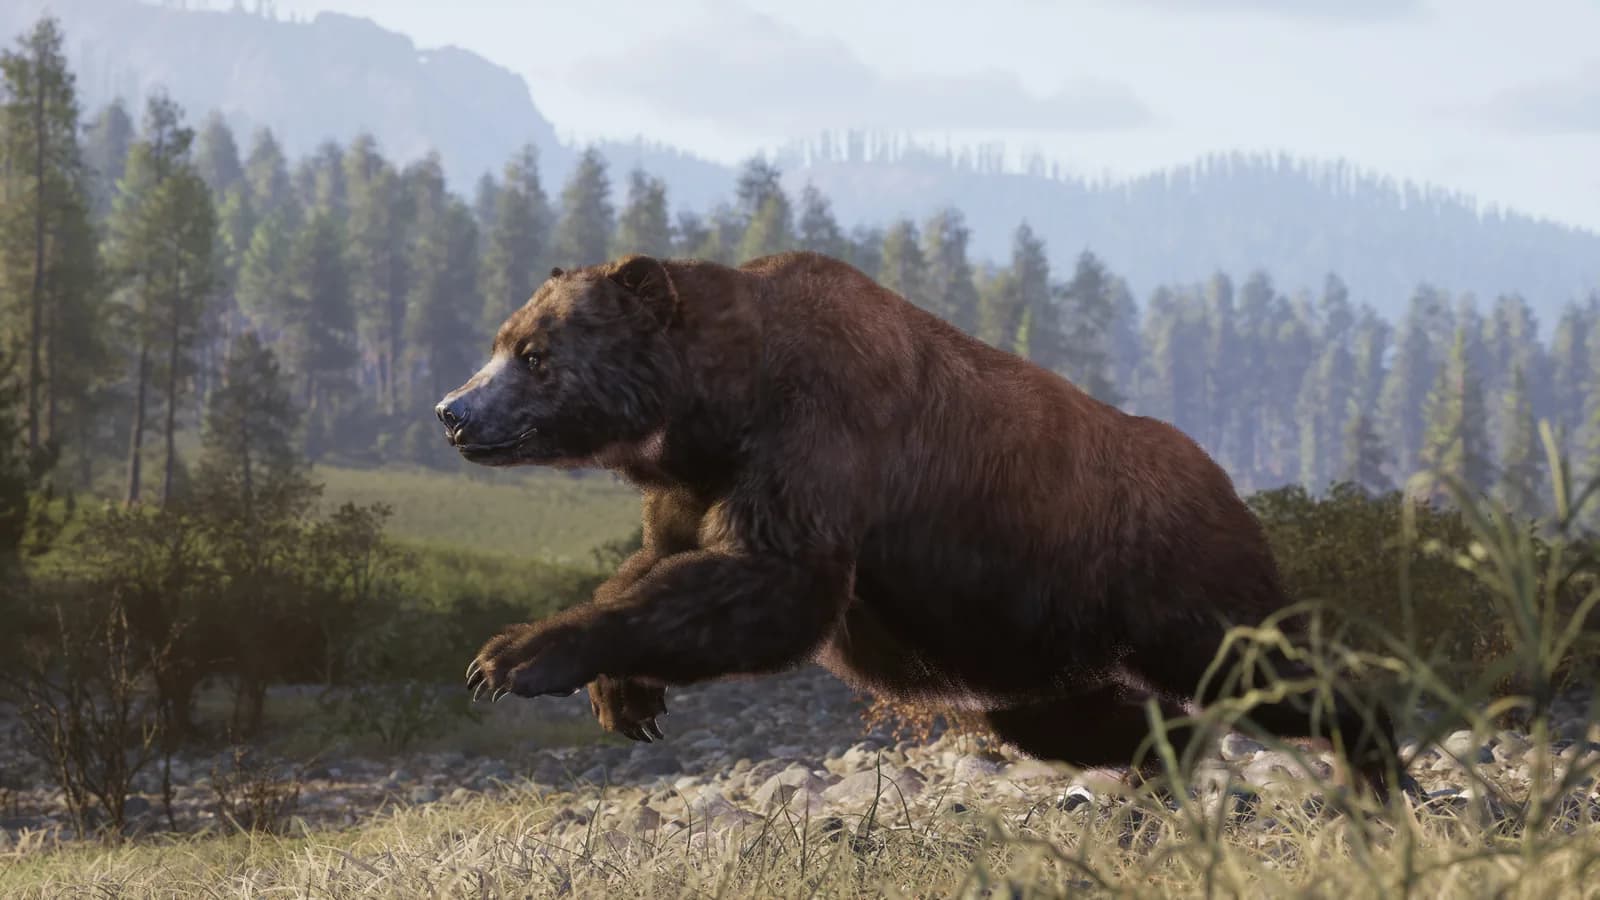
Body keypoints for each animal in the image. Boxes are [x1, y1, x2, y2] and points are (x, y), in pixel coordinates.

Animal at [435, 251, 1412, 800]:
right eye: (502, 339)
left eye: (535, 355)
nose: (452, 411)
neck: (715, 406)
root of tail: (1225, 477)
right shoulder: (693, 483)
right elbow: (665, 566)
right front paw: (622, 692)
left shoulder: (822, 436)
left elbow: (776, 584)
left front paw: (517, 655)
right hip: (1025, 651)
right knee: (1087, 722)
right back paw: (1159, 766)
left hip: (1168, 575)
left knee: (1261, 663)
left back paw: (1370, 767)